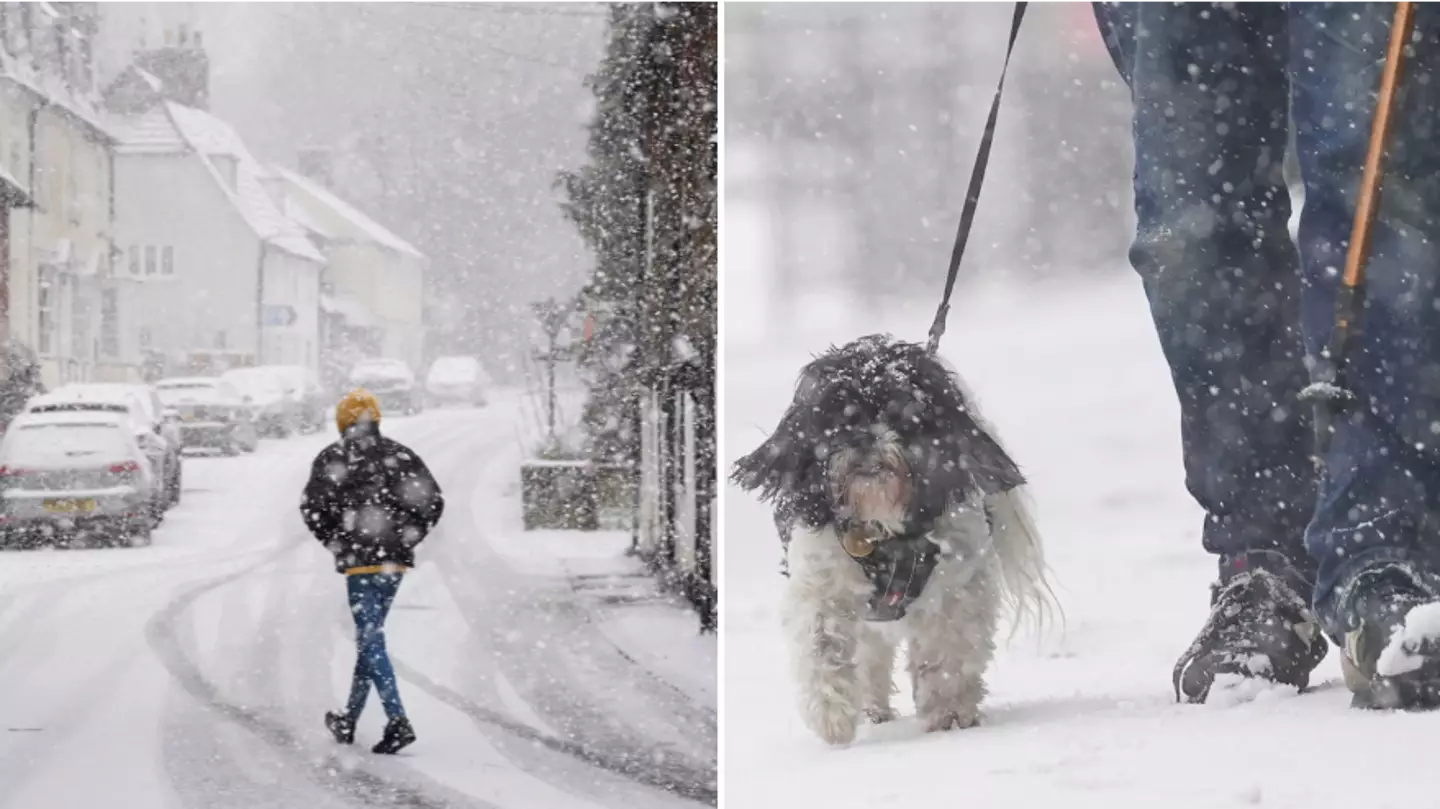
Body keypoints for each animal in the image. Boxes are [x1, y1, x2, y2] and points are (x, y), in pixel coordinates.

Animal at [731, 333, 1059, 742]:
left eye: (901, 412)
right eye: (837, 415)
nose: (863, 438)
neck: (881, 530)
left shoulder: (958, 586)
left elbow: (949, 650)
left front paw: (949, 712)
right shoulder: (821, 581)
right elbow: (822, 643)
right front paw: (832, 717)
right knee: (870, 654)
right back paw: (872, 709)